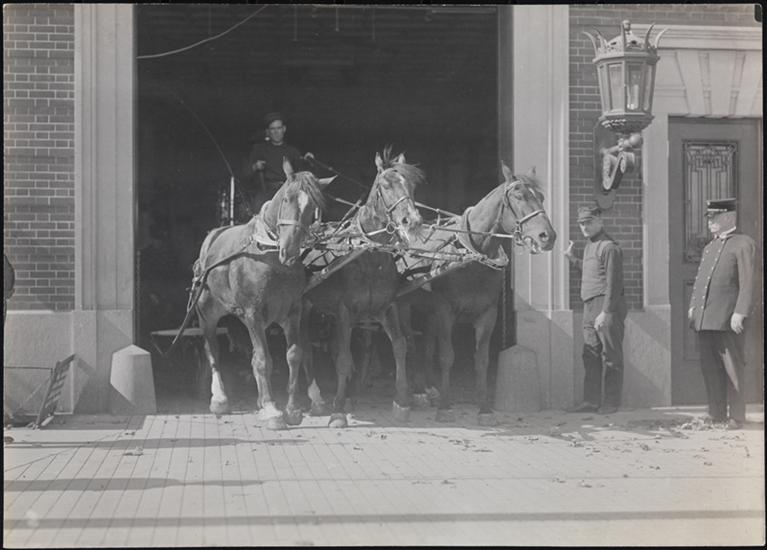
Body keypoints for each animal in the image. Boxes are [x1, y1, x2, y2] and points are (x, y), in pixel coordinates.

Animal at [191, 158, 335, 430]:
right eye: (287, 198)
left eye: (313, 207)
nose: (289, 251)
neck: (267, 254)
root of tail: (211, 237)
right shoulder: (253, 315)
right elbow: (263, 361)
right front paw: (271, 410)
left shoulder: (293, 313)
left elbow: (294, 356)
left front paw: (292, 409)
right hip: (207, 312)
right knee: (212, 348)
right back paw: (220, 399)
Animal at [300, 149, 424, 428]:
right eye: (386, 185)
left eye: (413, 185)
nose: (411, 221)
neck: (369, 255)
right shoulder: (344, 311)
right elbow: (344, 359)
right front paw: (337, 411)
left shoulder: (386, 308)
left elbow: (399, 346)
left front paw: (402, 402)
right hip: (306, 307)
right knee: (305, 347)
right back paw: (317, 399)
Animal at [398, 163, 556, 425]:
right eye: (519, 196)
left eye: (541, 197)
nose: (548, 236)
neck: (472, 256)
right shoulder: (445, 311)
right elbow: (447, 356)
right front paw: (445, 407)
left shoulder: (487, 313)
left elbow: (481, 360)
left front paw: (484, 409)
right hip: (405, 306)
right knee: (409, 342)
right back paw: (418, 392)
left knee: (427, 344)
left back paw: (429, 388)